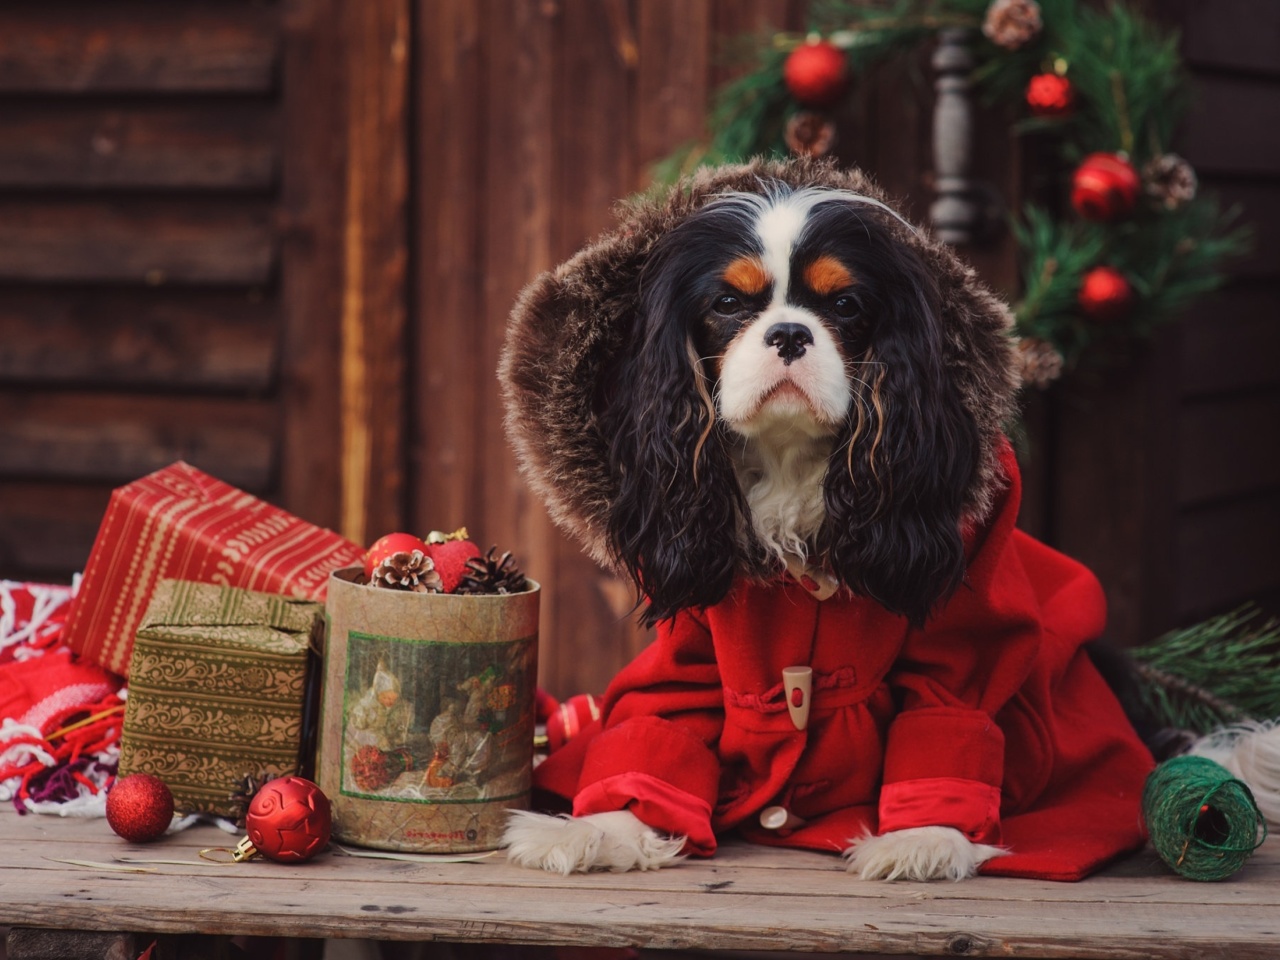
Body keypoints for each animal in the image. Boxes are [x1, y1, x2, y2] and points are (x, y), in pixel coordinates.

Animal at [496, 160, 1152, 885]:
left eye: (844, 306)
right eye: (728, 304)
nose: (789, 334)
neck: (790, 459)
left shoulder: (967, 627)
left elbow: (950, 709)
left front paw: (924, 836)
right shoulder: (693, 642)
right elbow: (661, 717)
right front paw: (606, 827)